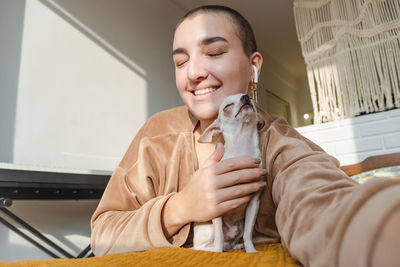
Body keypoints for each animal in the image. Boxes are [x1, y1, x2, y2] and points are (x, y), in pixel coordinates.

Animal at [194, 93, 266, 253]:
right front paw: (217, 252)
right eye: (227, 106)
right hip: (209, 230)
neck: (243, 150)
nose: (246, 97)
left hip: (240, 225)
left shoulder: (254, 204)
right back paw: (213, 249)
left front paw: (251, 250)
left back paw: (237, 245)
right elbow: (219, 236)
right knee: (201, 246)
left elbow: (248, 234)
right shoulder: (217, 208)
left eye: (252, 99)